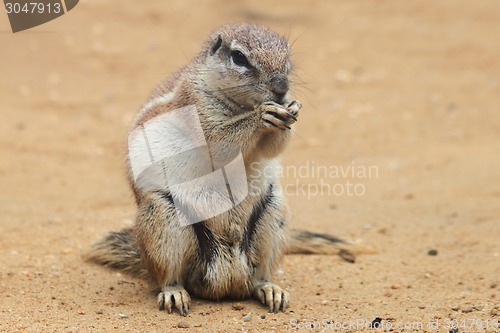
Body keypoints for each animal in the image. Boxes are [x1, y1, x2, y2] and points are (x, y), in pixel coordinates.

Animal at [87, 22, 356, 314]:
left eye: (288, 59)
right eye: (239, 57)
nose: (282, 88)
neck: (241, 105)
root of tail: (227, 278)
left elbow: (271, 149)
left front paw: (291, 109)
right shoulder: (195, 105)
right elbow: (217, 142)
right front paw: (262, 116)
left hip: (273, 213)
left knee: (258, 276)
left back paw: (270, 289)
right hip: (163, 219)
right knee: (168, 276)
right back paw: (174, 292)